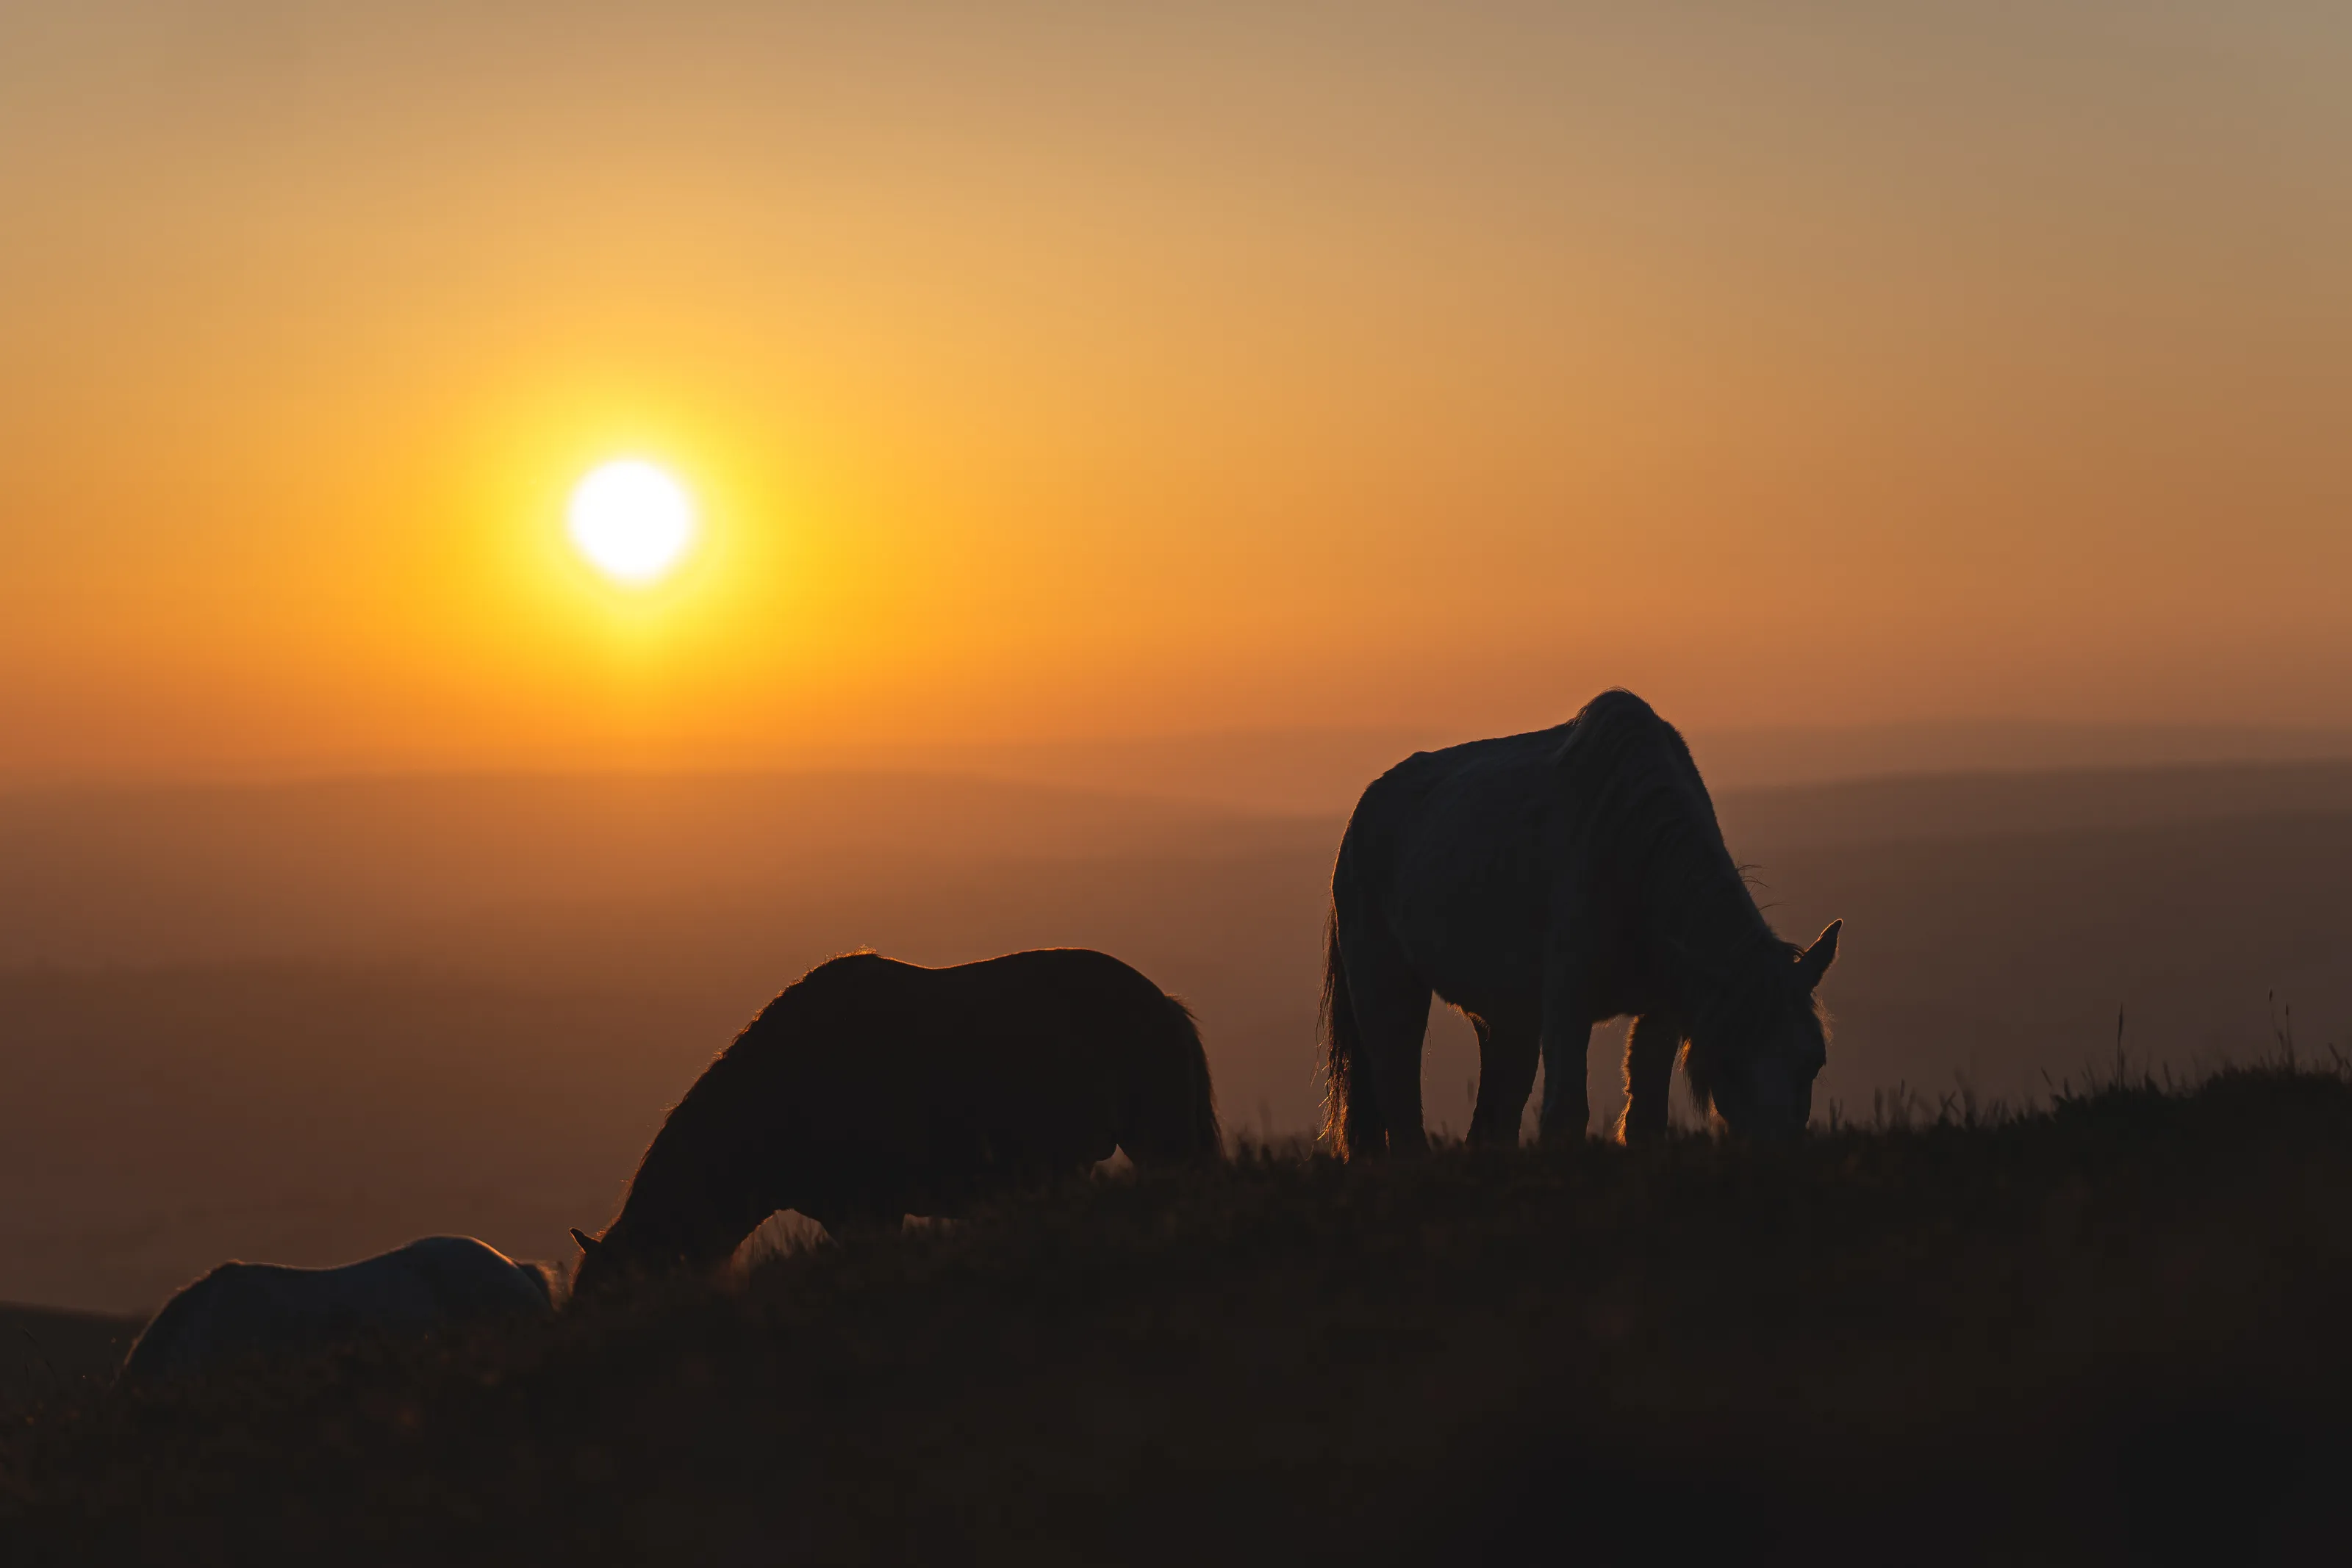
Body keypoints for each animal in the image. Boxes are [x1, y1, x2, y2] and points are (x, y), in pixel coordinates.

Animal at [1322, 689, 1840, 1158]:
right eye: (1728, 1059)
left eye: (1814, 1061)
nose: (1776, 1153)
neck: (1631, 850)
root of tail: (1361, 814)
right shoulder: (1567, 1002)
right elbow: (1566, 1116)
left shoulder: (1665, 1008)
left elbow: (1646, 1118)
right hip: (1386, 987)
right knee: (1400, 1100)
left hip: (1504, 1017)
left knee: (1492, 1119)